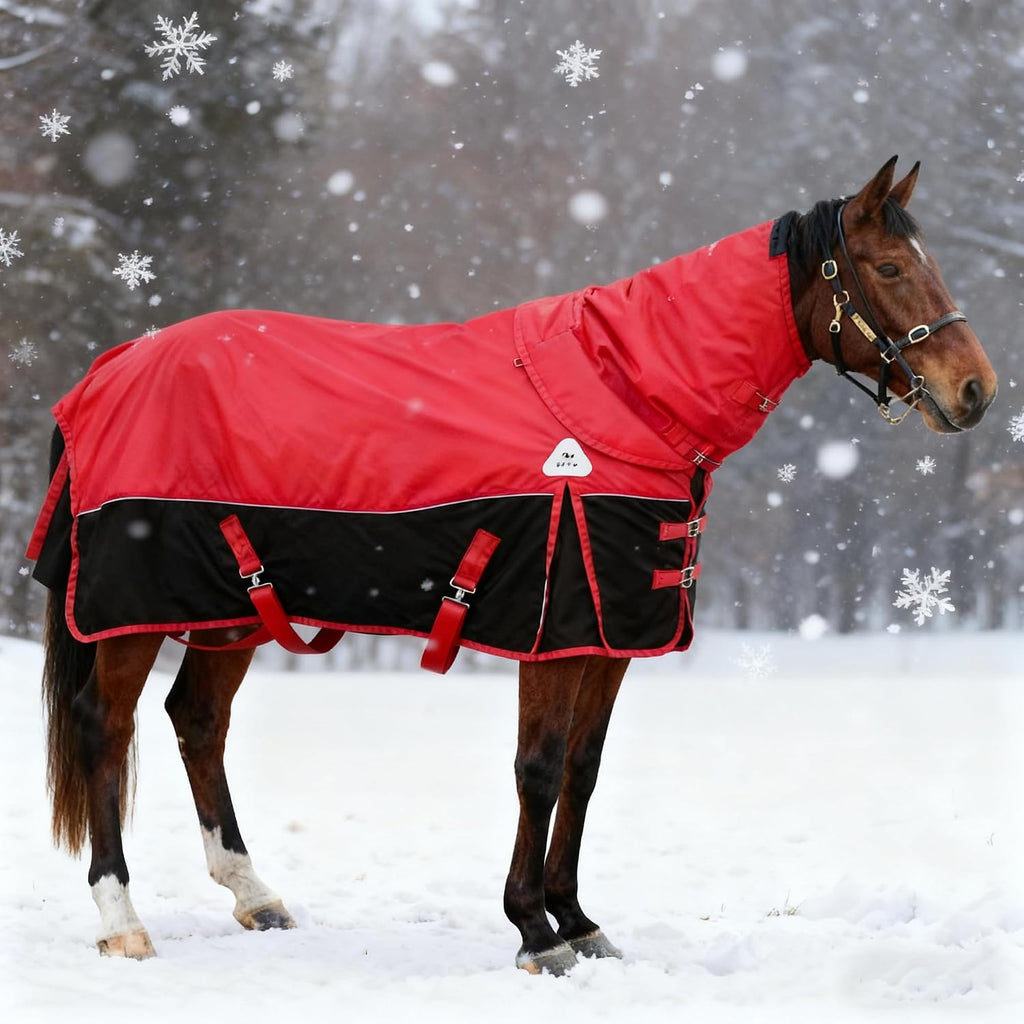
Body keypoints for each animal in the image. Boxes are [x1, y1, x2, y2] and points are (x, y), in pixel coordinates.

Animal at [29, 157, 996, 974]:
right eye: (890, 268)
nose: (976, 391)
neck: (626, 392)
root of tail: (112, 366)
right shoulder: (557, 631)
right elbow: (538, 768)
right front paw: (535, 930)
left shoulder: (609, 639)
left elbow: (583, 771)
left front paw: (579, 920)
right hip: (131, 614)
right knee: (104, 728)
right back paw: (121, 920)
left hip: (231, 607)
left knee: (198, 720)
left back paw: (254, 895)